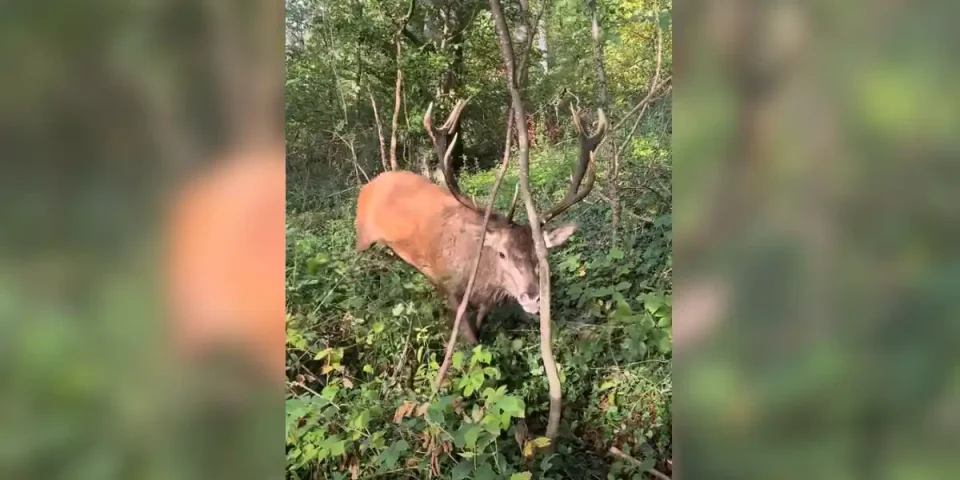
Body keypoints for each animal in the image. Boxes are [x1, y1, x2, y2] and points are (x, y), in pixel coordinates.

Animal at [355, 99, 607, 344]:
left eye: (541, 253)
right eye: (501, 254)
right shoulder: (450, 288)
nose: (532, 297)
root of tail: (369, 184)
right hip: (362, 235)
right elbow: (471, 341)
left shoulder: (488, 300)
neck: (480, 277)